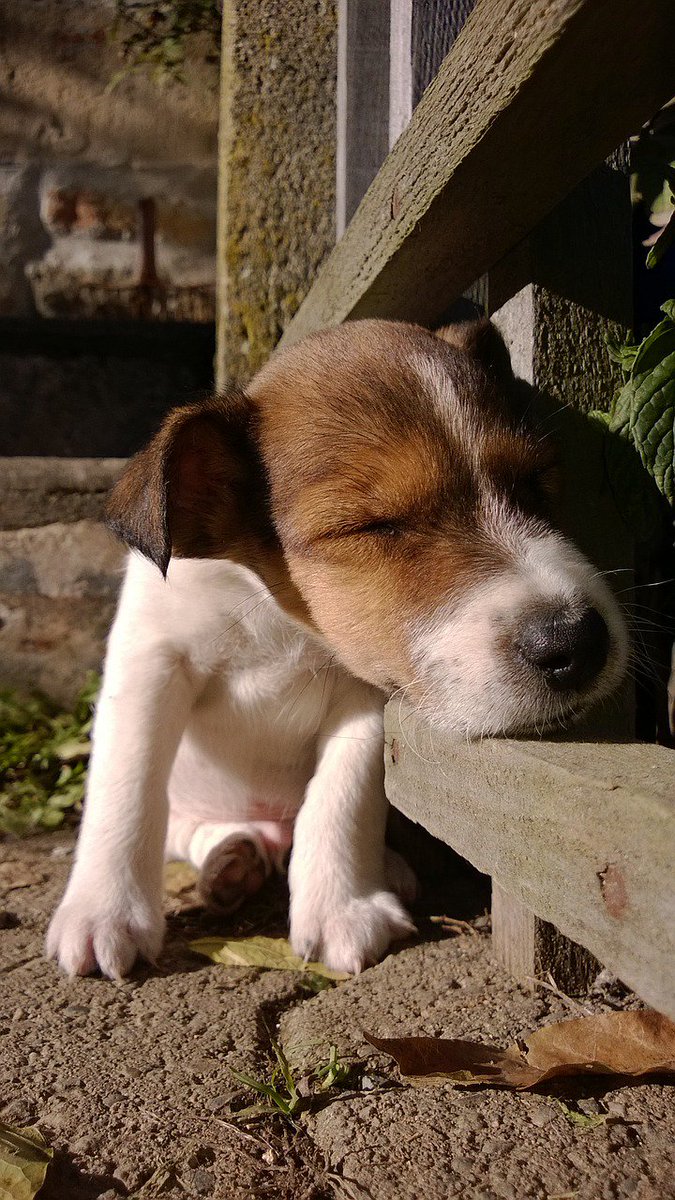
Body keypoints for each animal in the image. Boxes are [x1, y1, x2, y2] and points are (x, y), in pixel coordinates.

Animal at [46, 319, 628, 979]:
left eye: (534, 484)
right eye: (373, 526)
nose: (578, 642)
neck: (277, 619)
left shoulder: (368, 688)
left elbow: (343, 793)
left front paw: (340, 908)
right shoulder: (149, 663)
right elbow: (127, 788)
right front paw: (104, 911)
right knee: (187, 828)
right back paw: (230, 858)